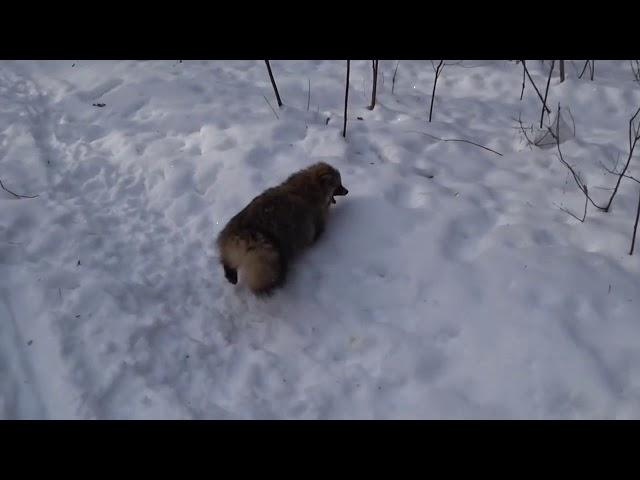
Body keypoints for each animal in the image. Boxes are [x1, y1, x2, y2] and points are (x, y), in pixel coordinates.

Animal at [216, 163, 348, 294]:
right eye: (339, 185)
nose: (347, 191)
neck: (309, 187)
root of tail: (244, 234)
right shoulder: (315, 222)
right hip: (269, 256)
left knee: (227, 260)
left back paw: (230, 273)